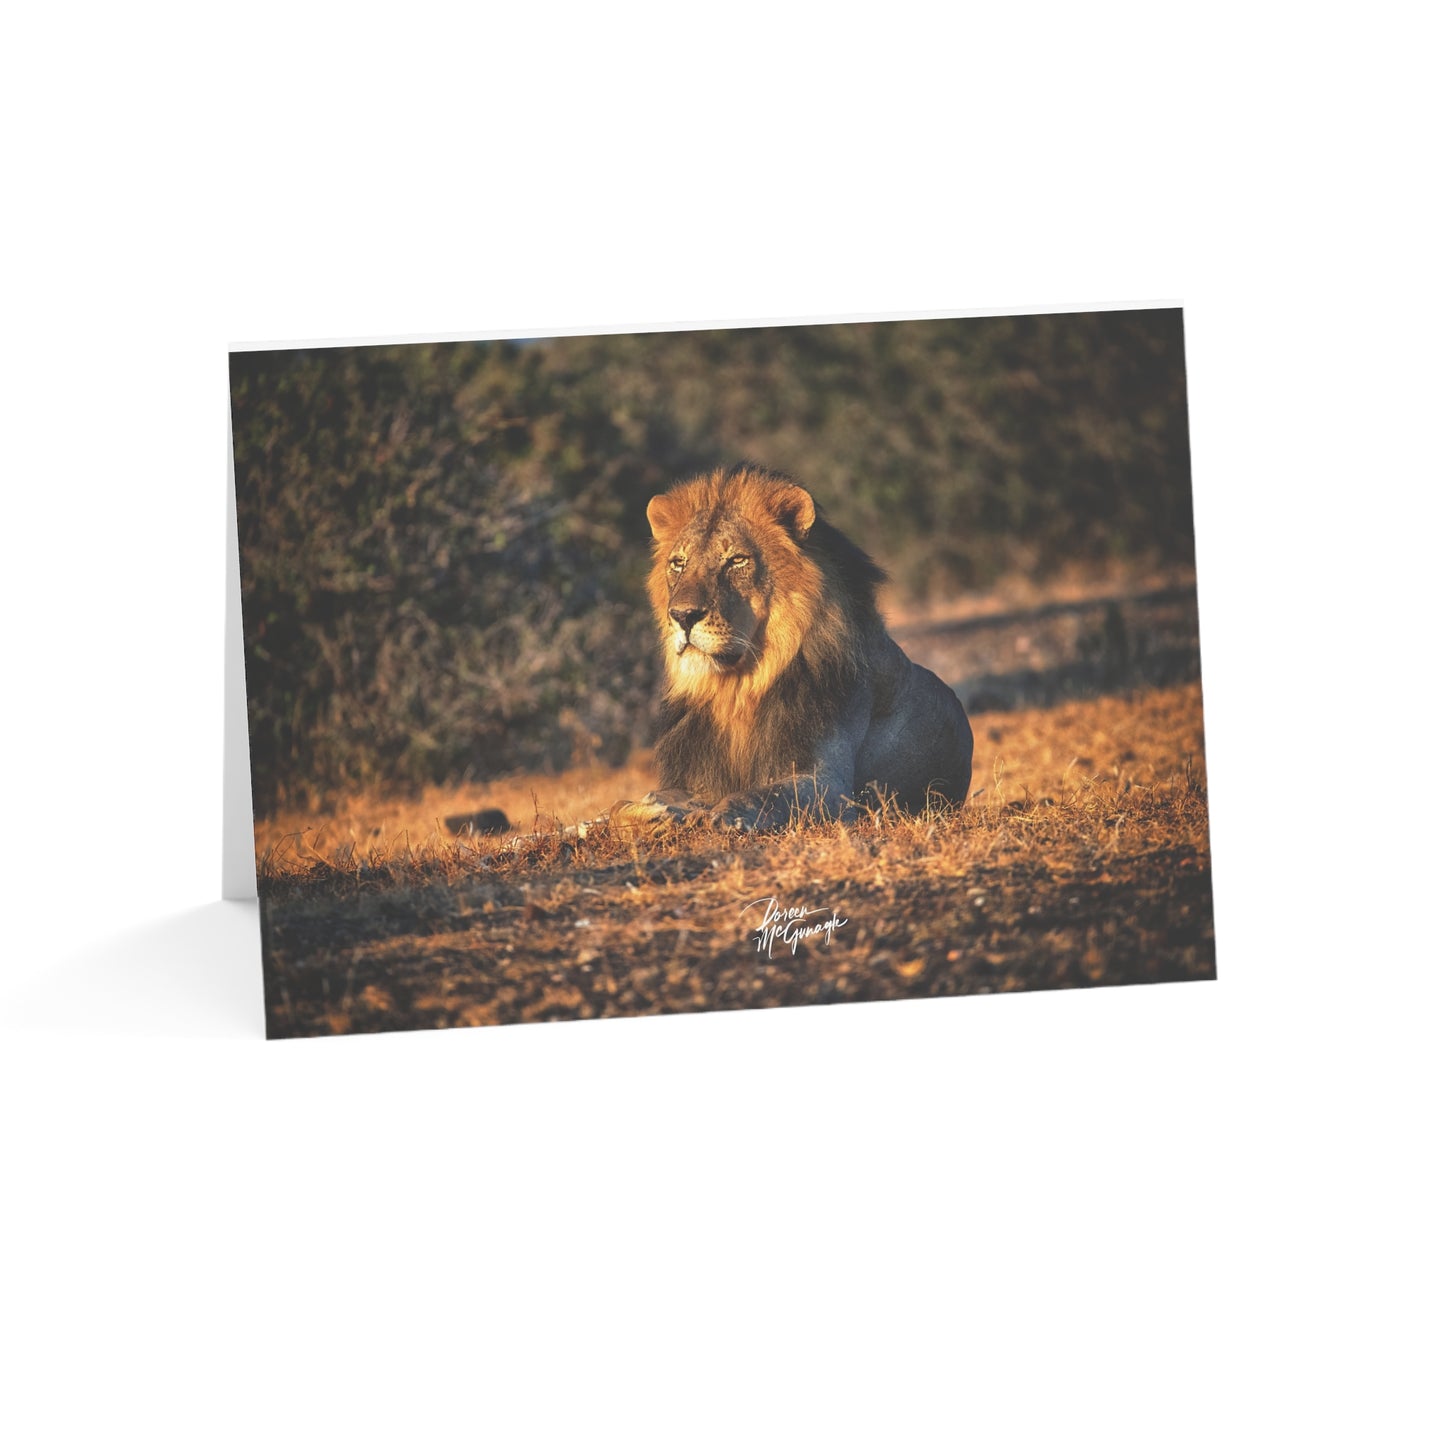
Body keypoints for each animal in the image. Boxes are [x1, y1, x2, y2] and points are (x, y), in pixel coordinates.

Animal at [611, 465, 974, 832]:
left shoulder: (829, 784)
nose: (682, 616)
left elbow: (762, 795)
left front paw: (722, 815)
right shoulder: (696, 778)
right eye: (678, 563)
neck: (736, 689)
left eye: (737, 560)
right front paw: (650, 810)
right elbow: (621, 805)